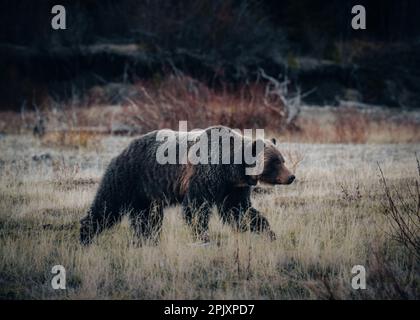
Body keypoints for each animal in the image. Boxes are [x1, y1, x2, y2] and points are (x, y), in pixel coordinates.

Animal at [79, 125, 296, 245]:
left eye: (282, 159)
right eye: (275, 162)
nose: (292, 176)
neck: (232, 168)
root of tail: (124, 149)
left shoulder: (233, 188)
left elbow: (240, 211)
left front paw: (268, 233)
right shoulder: (205, 176)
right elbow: (196, 209)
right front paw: (205, 238)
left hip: (147, 193)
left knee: (147, 218)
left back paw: (146, 239)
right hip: (129, 177)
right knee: (107, 206)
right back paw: (85, 235)